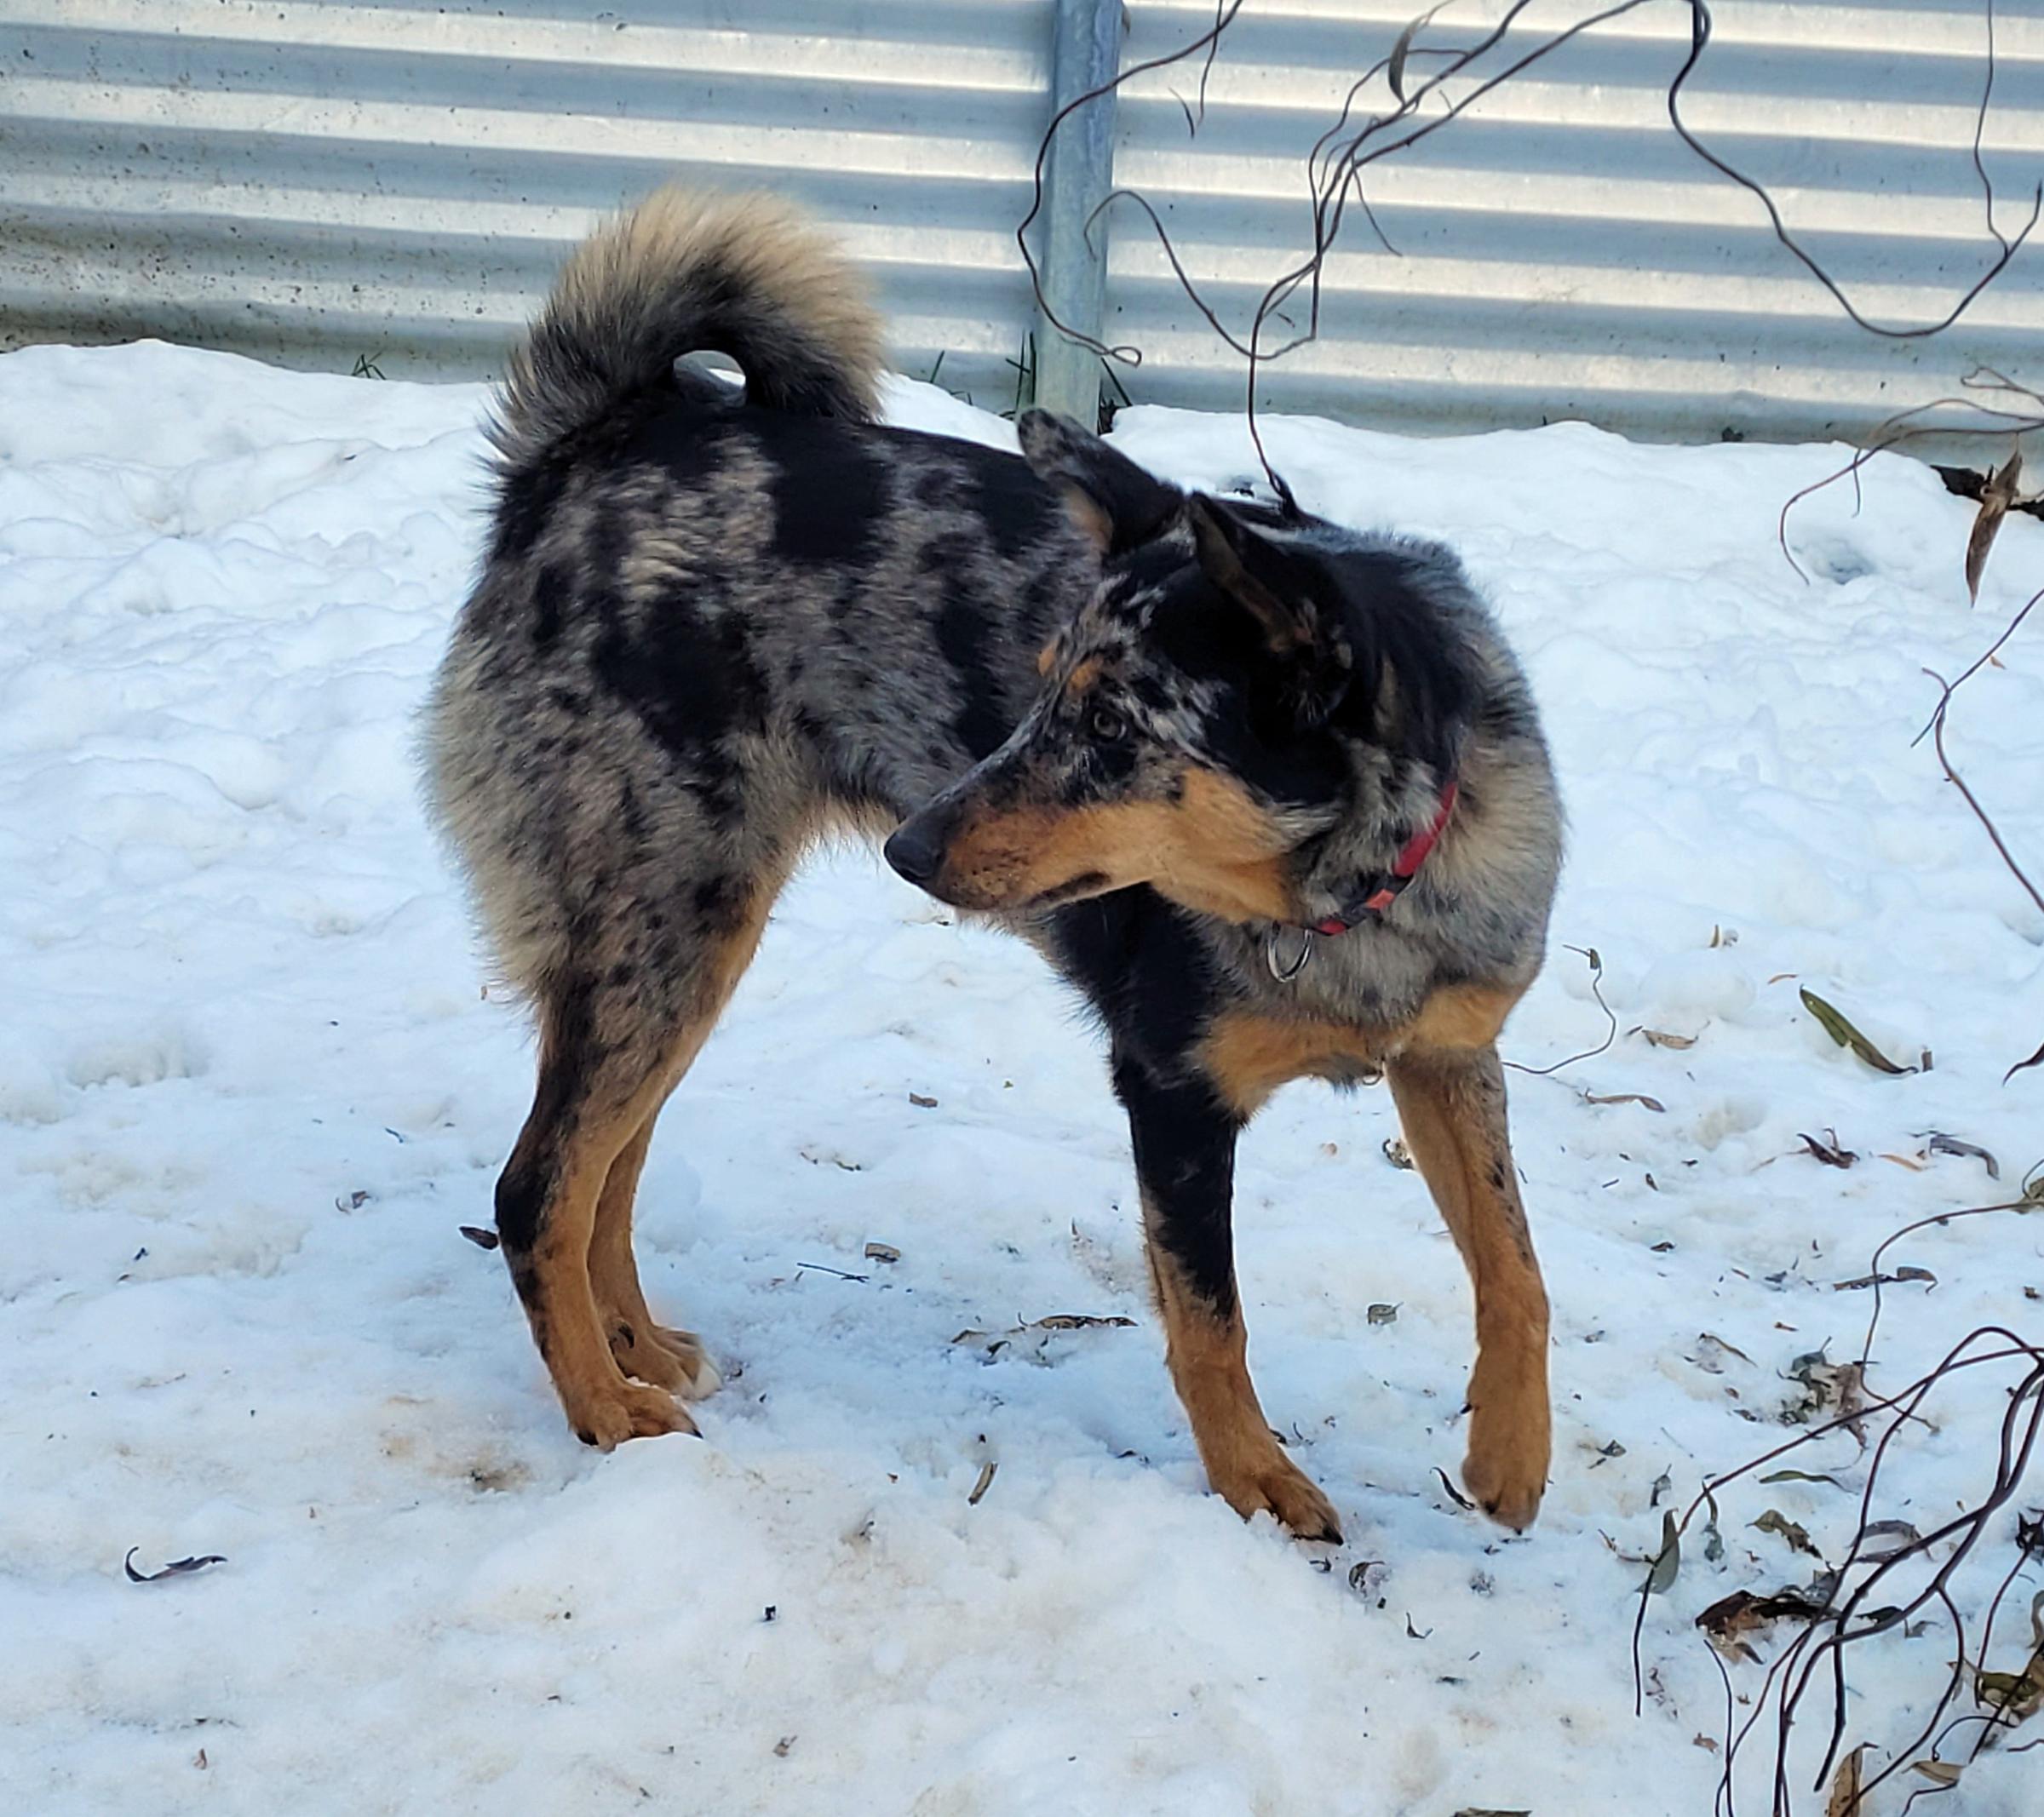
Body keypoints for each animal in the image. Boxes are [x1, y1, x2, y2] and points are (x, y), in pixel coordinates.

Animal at [423, 185, 1563, 1539]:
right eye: (1040, 692)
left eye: (1114, 728)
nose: (910, 849)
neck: (1352, 896)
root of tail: (599, 444)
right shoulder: (1171, 1094)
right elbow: (1212, 1327)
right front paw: (1258, 1485)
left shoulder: (1451, 1058)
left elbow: (1518, 1268)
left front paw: (1512, 1453)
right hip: (667, 929)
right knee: (538, 1186)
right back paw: (604, 1408)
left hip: (677, 946)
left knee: (608, 1169)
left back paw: (638, 1346)